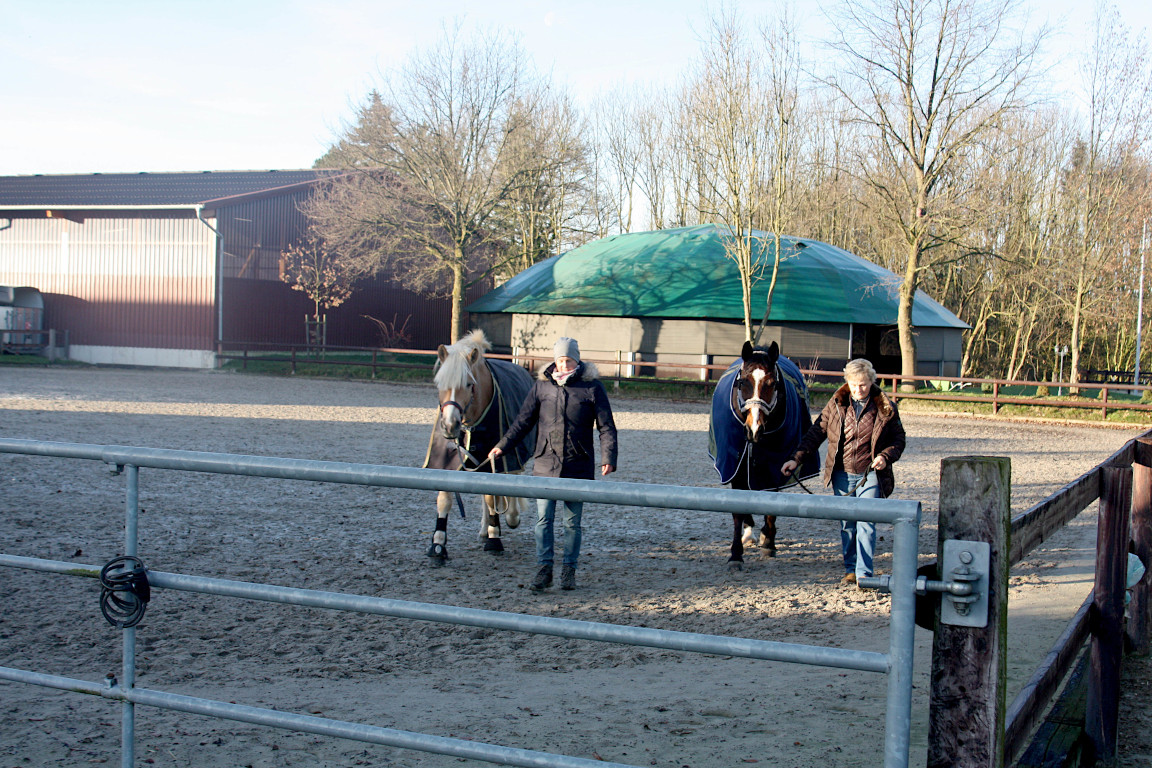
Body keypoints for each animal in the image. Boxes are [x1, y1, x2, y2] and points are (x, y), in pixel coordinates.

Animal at [421, 327, 532, 568]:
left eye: (469, 384)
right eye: (439, 384)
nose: (450, 425)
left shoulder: (495, 458)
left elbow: (493, 497)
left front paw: (494, 539)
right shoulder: (449, 461)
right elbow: (445, 500)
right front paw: (438, 544)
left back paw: (510, 518)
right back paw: (485, 527)